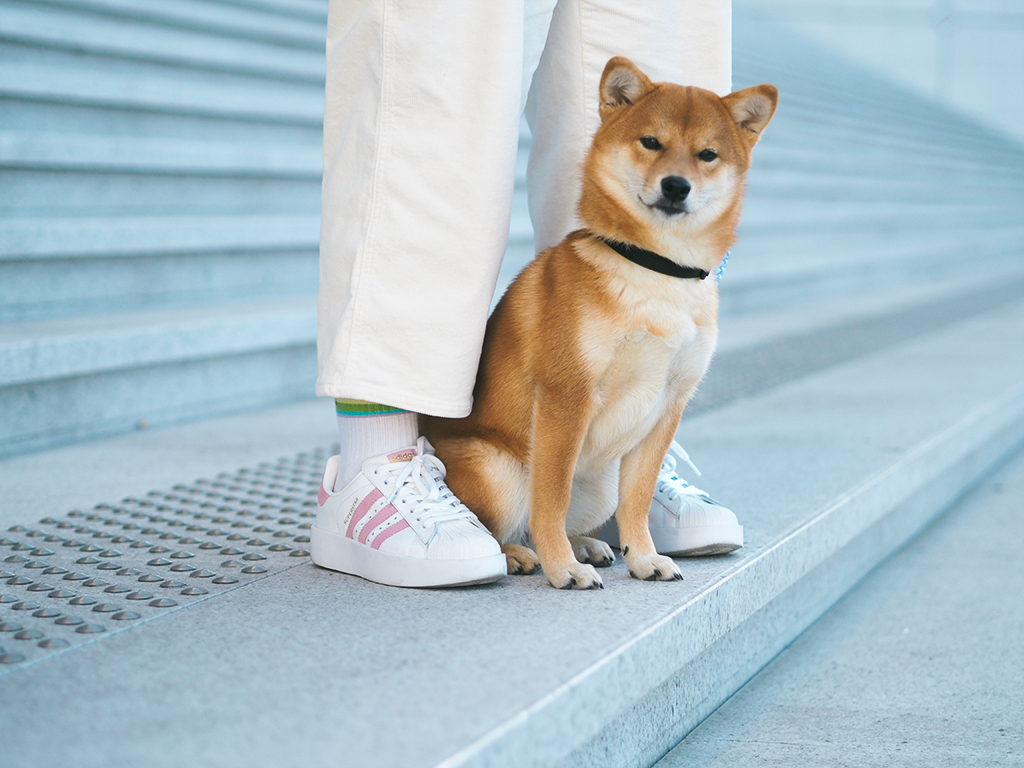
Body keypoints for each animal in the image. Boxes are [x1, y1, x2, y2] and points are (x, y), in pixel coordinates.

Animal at [419, 57, 770, 593]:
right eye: (651, 142)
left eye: (707, 154)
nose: (676, 185)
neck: (655, 270)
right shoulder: (568, 396)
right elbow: (551, 496)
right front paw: (562, 568)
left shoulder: (668, 404)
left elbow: (637, 502)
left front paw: (643, 558)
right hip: (498, 468)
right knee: (500, 525)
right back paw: (520, 554)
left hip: (602, 481)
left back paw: (584, 543)